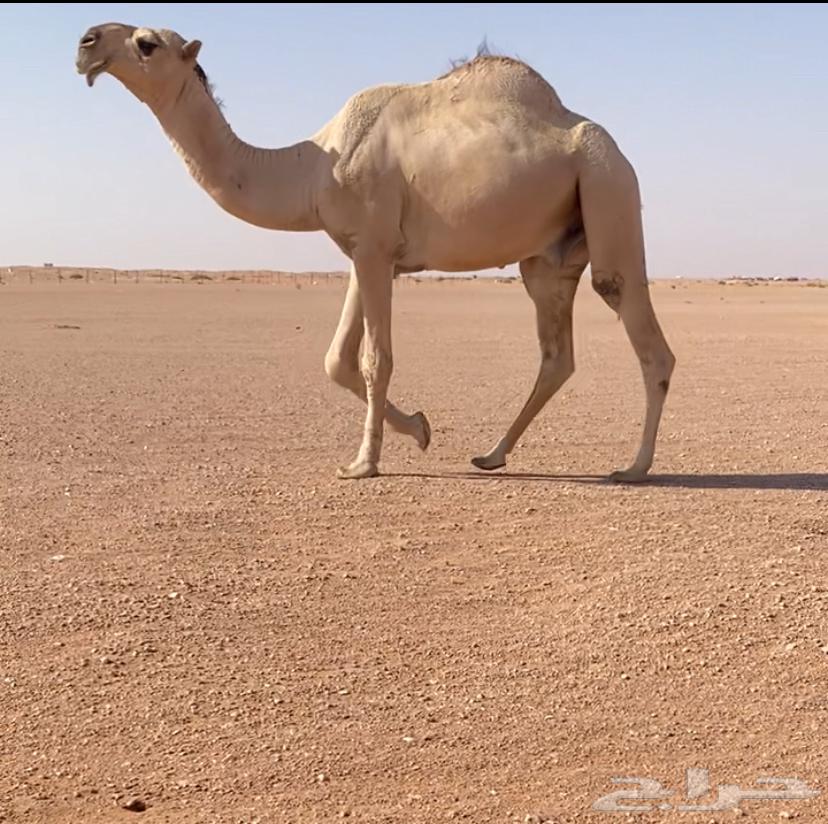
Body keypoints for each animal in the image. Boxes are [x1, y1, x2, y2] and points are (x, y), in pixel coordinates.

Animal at [75, 23, 675, 482]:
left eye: (147, 43)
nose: (85, 42)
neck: (311, 166)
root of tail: (616, 149)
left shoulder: (374, 248)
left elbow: (373, 359)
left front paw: (363, 464)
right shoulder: (366, 252)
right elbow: (336, 359)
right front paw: (421, 429)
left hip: (607, 183)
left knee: (641, 330)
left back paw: (634, 467)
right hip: (547, 257)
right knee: (557, 353)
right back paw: (492, 455)